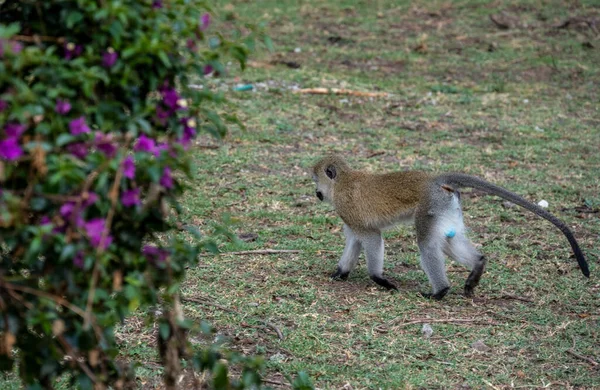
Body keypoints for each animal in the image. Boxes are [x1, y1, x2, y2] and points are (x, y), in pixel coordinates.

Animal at [314, 155, 592, 298]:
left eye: (315, 179)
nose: (316, 192)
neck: (342, 182)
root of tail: (433, 180)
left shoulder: (350, 209)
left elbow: (371, 238)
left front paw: (380, 279)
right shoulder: (349, 218)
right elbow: (354, 240)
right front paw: (340, 273)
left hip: (430, 206)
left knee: (427, 244)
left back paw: (440, 291)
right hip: (445, 208)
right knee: (447, 241)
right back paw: (477, 266)